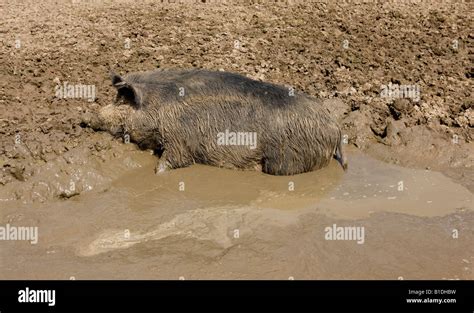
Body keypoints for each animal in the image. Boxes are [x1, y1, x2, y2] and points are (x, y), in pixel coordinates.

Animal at [83, 68, 346, 174]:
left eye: (121, 103)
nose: (86, 118)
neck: (158, 107)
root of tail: (335, 127)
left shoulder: (180, 140)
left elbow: (173, 160)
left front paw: (158, 173)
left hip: (285, 160)